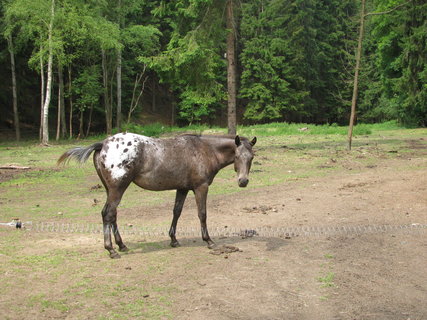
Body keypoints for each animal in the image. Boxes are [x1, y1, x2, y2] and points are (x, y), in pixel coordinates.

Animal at [58, 132, 256, 258]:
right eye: (237, 156)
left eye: (251, 157)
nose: (243, 181)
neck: (204, 150)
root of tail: (103, 144)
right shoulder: (201, 187)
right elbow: (202, 214)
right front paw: (208, 241)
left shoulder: (182, 188)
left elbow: (177, 211)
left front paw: (173, 240)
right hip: (117, 189)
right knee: (108, 214)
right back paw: (111, 250)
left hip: (111, 190)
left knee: (112, 215)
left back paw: (121, 245)